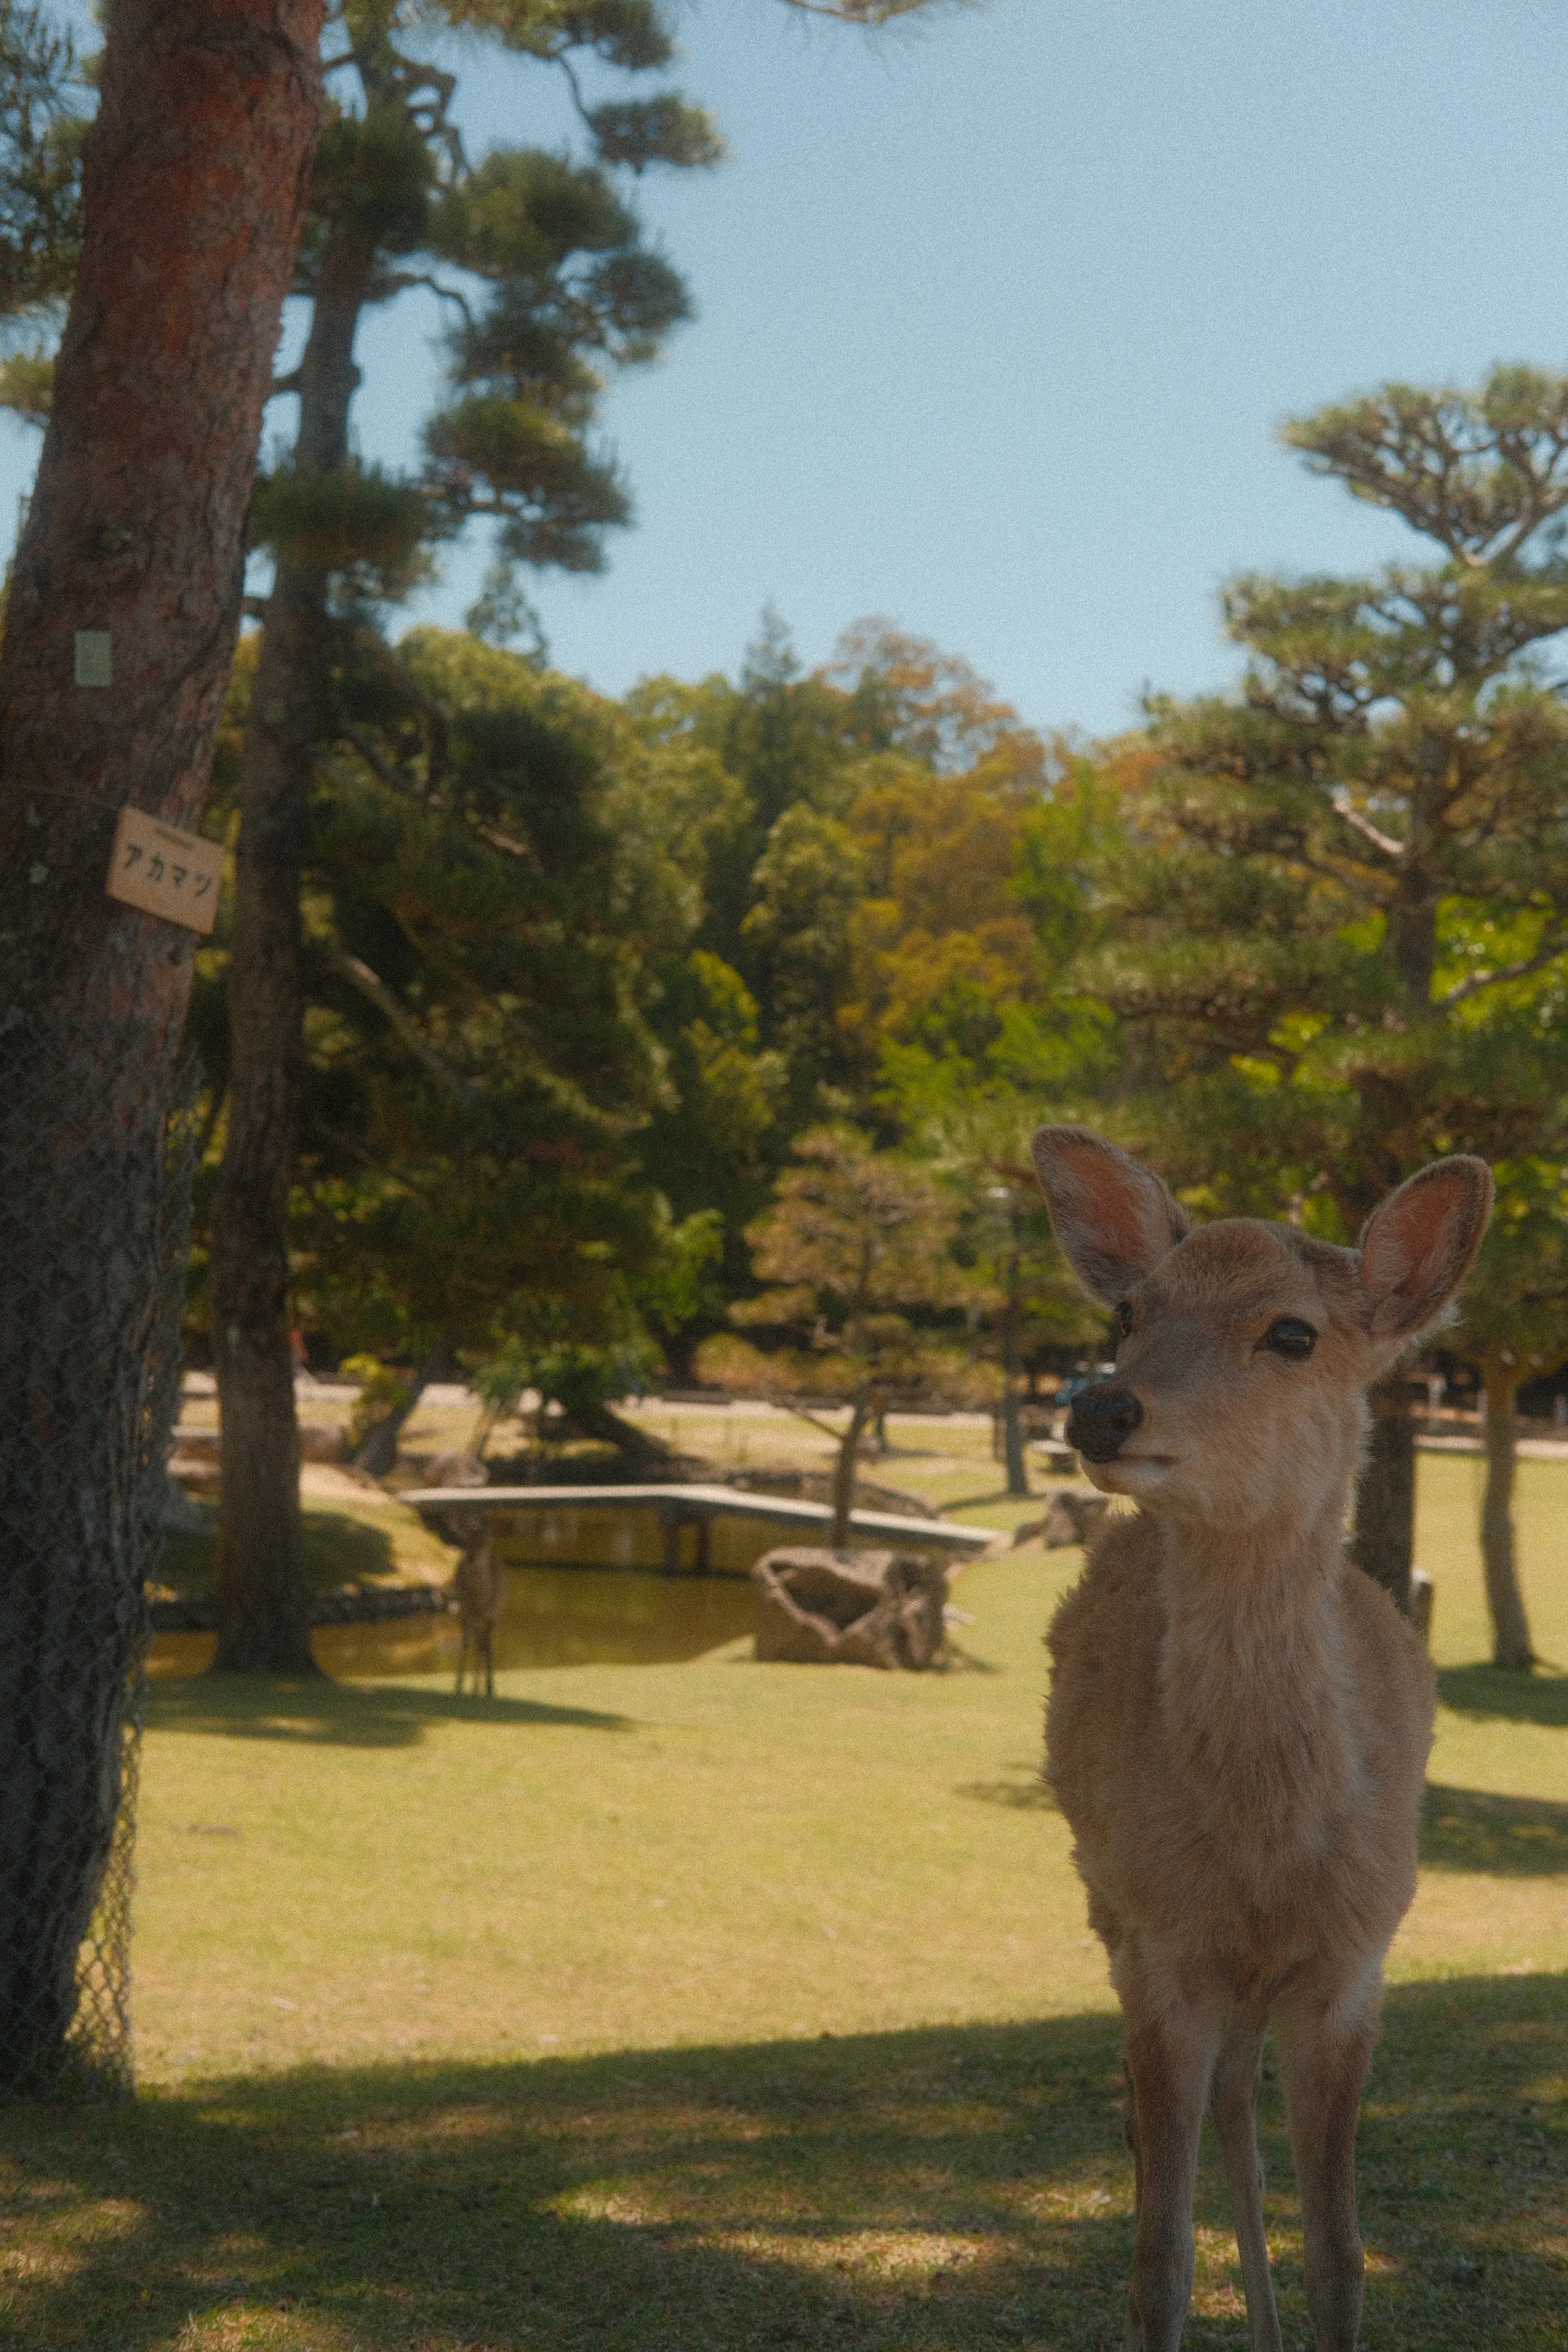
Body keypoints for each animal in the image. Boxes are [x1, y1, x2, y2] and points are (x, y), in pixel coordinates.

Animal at [451, 1519, 505, 1698]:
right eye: (465, 1540)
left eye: (485, 1541)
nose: (470, 1558)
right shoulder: (465, 1611)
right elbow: (466, 1644)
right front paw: (458, 1687)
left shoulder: (490, 1613)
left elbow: (485, 1646)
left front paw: (486, 1688)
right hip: (473, 1618)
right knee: (478, 1642)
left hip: (495, 1613)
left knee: (485, 1644)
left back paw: (486, 1688)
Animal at [1030, 1126, 1491, 2352]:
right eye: (1131, 1311)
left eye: (1294, 1332)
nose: (1100, 1410)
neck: (1268, 1848)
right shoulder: (1164, 1947)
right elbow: (1158, 2257)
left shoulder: (1355, 1960)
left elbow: (1343, 2253)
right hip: (1101, 1900)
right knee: (1167, 2123)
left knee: (1239, 2096)